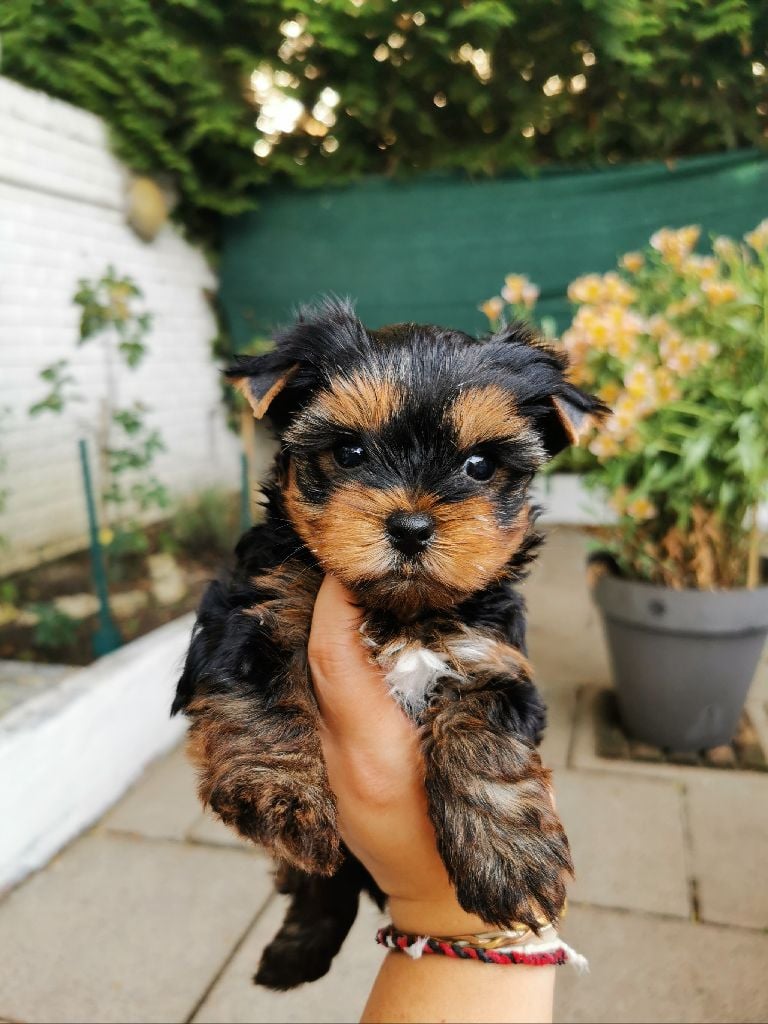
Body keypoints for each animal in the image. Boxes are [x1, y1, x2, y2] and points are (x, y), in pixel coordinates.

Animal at [173, 299, 606, 987]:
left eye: (479, 465)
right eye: (349, 451)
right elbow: (258, 688)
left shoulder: (493, 658)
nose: (410, 525)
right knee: (319, 879)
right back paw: (295, 950)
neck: (399, 612)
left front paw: (511, 856)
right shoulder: (248, 609)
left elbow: (486, 732)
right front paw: (281, 792)